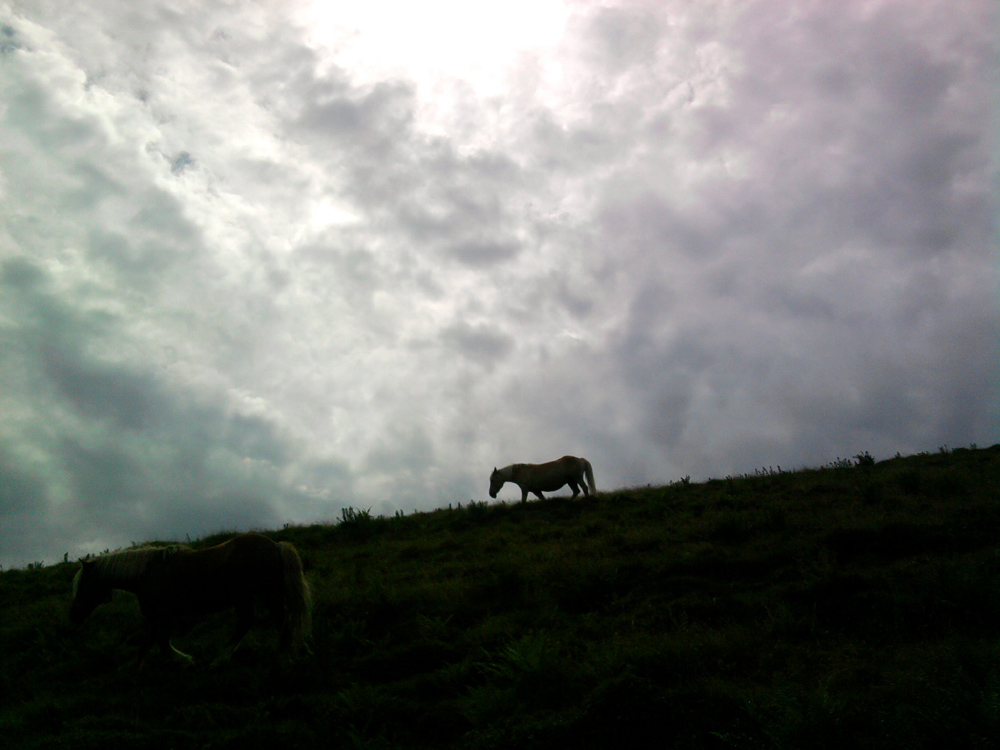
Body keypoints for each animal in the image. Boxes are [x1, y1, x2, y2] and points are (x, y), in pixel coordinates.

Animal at [69, 532, 310, 668]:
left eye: (83, 585)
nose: (73, 616)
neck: (147, 573)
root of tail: (276, 546)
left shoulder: (163, 614)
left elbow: (161, 642)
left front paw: (185, 660)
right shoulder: (155, 617)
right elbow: (148, 644)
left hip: (246, 595)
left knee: (247, 622)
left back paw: (220, 659)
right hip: (269, 593)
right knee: (281, 619)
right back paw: (290, 654)